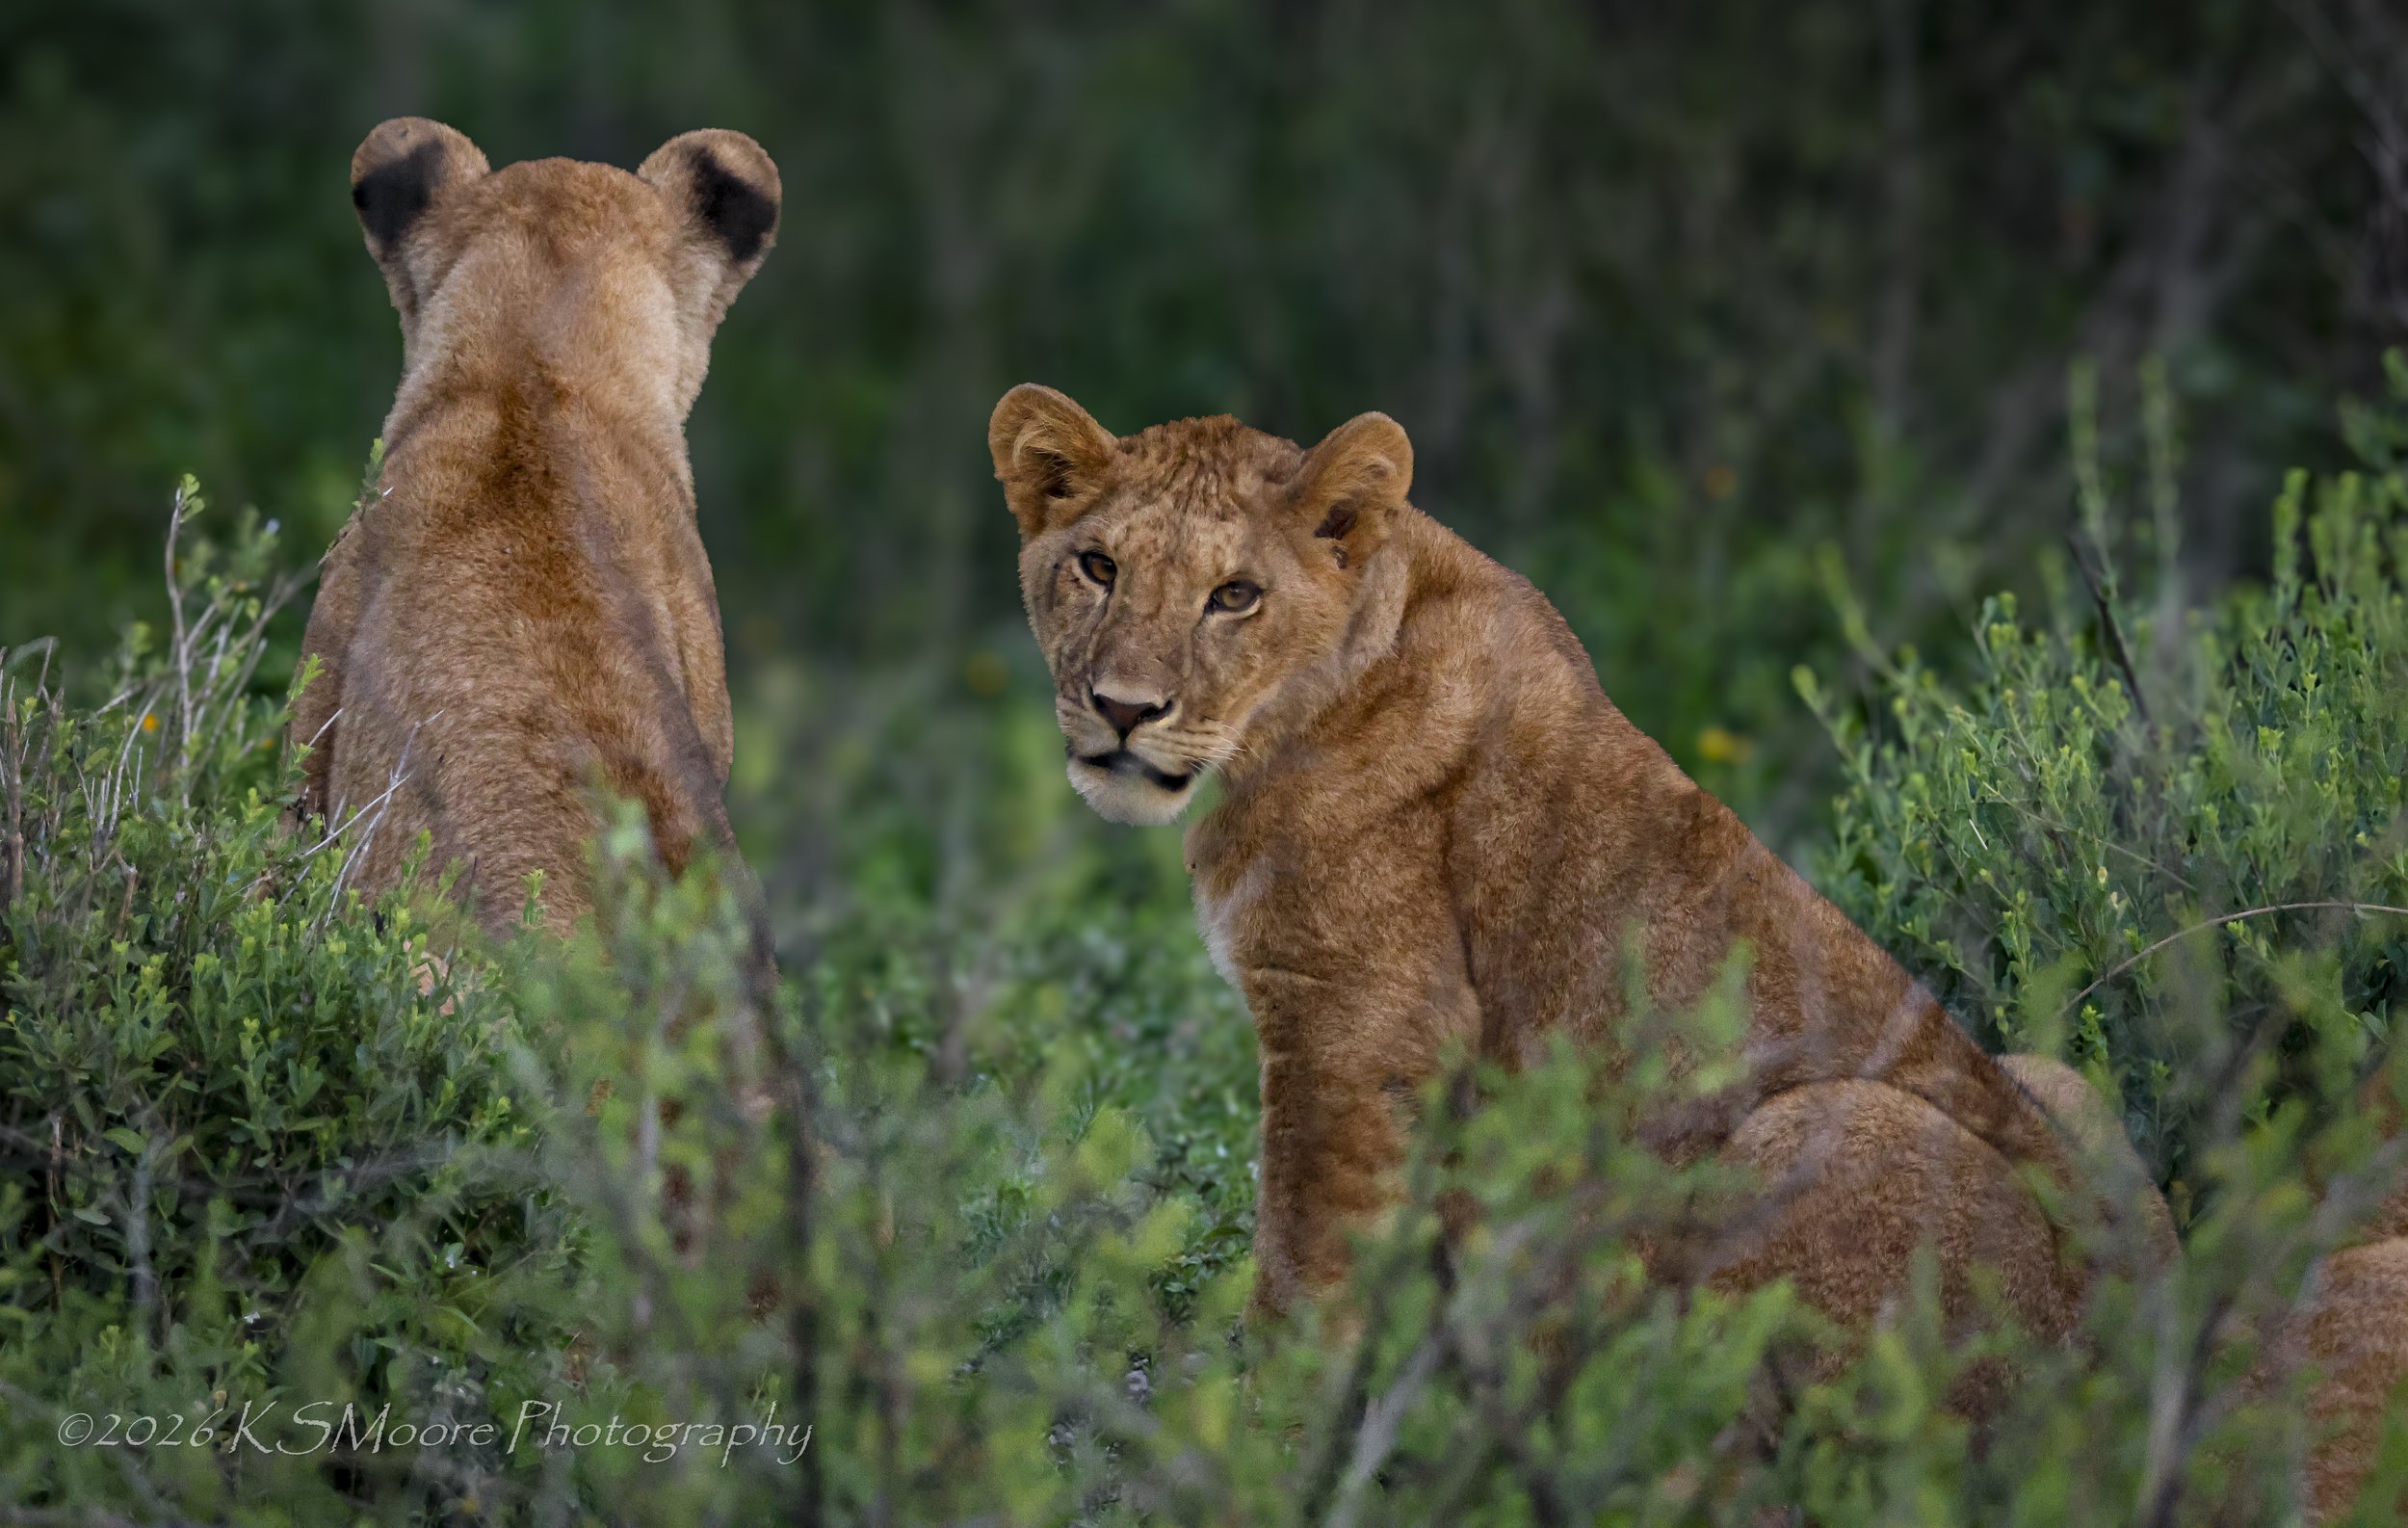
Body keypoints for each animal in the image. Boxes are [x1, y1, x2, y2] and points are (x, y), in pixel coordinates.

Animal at [989, 385, 2172, 1380]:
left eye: (1234, 595)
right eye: (1097, 567)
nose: (1123, 708)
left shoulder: (1359, 1019)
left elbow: (1305, 1262)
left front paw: (1260, 1435)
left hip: (1814, 1127)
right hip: (2053, 1076)